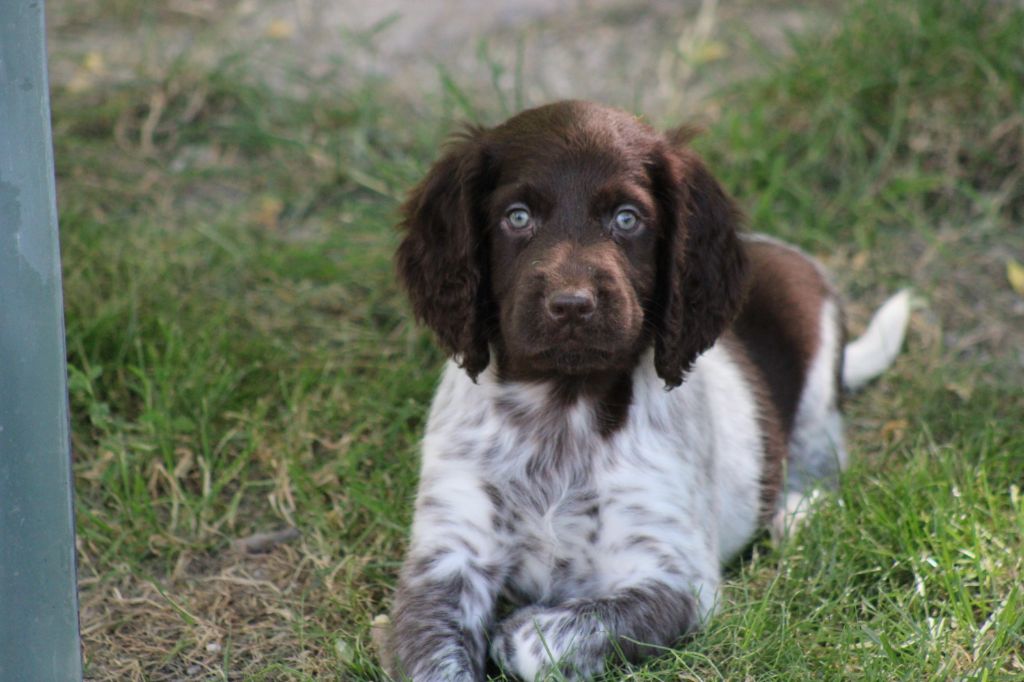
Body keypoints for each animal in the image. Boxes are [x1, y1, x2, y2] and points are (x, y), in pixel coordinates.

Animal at [385, 98, 913, 675]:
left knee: (821, 453)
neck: (563, 408)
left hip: (817, 366)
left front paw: (513, 631)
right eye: (517, 217)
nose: (572, 305)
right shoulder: (445, 561)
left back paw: (797, 511)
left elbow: (533, 639)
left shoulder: (676, 577)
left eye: (627, 219)